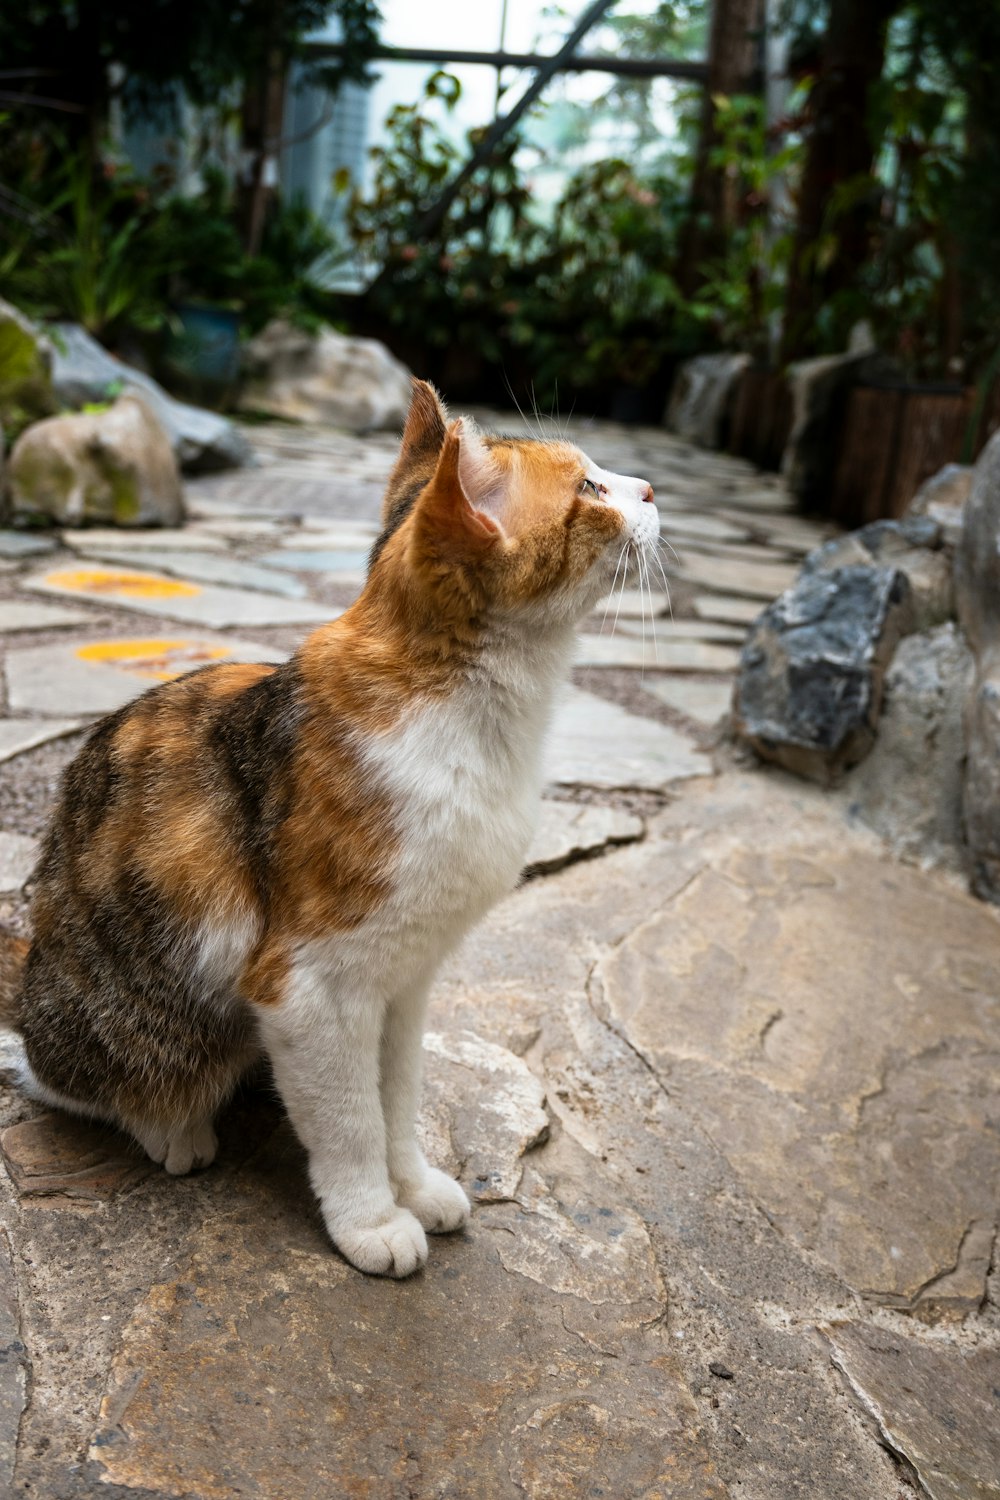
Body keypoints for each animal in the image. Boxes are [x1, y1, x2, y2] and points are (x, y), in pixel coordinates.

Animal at [0, 384, 656, 1278]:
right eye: (590, 487)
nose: (651, 488)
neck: (479, 719)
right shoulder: (310, 986)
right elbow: (349, 1121)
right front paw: (371, 1220)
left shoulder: (407, 980)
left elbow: (396, 1099)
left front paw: (413, 1186)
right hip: (150, 1025)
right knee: (66, 1077)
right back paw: (174, 1129)